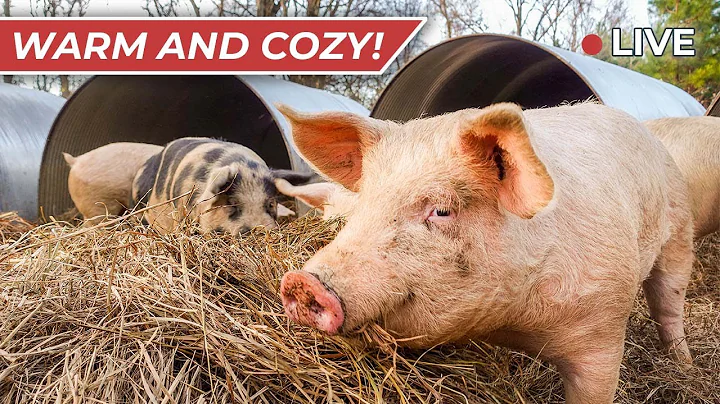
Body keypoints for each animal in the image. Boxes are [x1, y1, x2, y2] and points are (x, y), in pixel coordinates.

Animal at [277, 103, 694, 404]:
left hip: (679, 230)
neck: (512, 322)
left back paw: (684, 365)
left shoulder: (602, 328)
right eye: (364, 201)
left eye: (442, 210)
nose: (302, 282)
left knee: (669, 301)